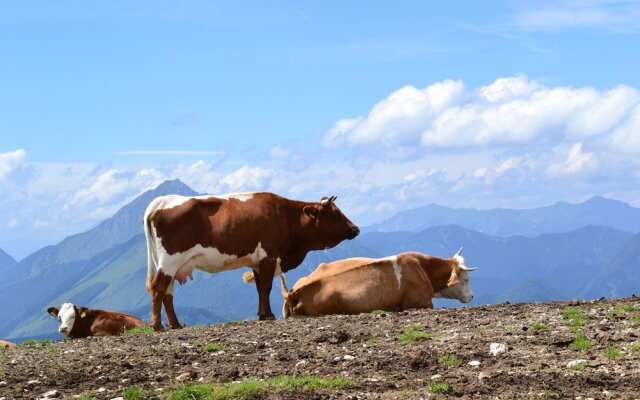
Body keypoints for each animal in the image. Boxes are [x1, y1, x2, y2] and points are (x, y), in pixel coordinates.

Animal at [142, 192, 358, 330]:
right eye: (335, 214)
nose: (356, 229)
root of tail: (162, 200)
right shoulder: (269, 256)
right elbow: (266, 287)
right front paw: (269, 315)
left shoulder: (257, 261)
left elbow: (260, 288)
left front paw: (262, 315)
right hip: (170, 261)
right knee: (158, 288)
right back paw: (157, 325)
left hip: (171, 264)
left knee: (167, 293)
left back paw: (175, 325)